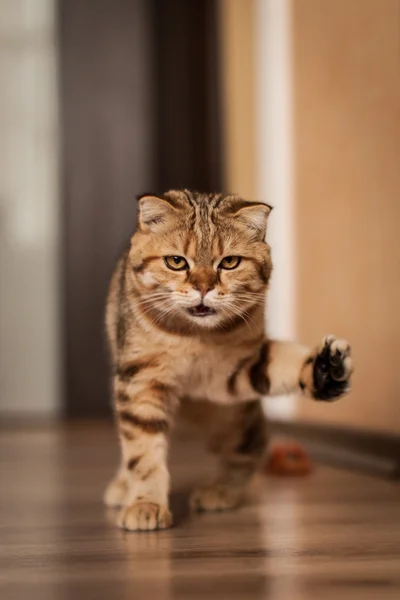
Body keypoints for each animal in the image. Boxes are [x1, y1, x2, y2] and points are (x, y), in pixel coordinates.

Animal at [104, 190, 354, 532]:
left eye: (230, 262)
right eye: (176, 261)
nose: (204, 288)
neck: (194, 336)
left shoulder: (234, 371)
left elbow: (285, 363)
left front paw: (324, 370)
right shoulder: (141, 381)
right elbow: (142, 454)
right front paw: (146, 503)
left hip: (230, 418)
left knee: (251, 447)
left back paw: (221, 490)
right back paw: (122, 487)